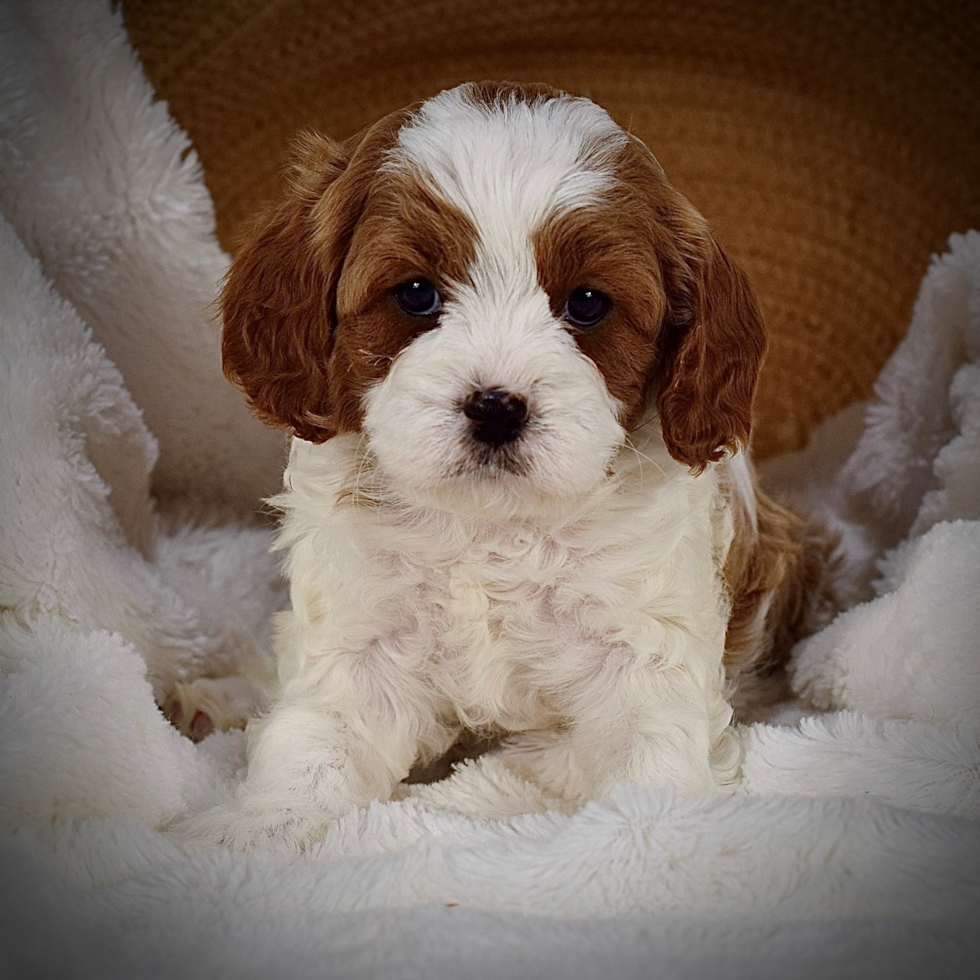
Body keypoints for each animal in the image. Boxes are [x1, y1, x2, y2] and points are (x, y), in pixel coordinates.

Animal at [174, 82, 836, 848]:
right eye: (416, 294)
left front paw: (644, 834)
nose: (496, 407)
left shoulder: (640, 652)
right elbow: (311, 741)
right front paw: (250, 832)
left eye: (587, 303)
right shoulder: (359, 642)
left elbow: (645, 766)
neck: (490, 527)